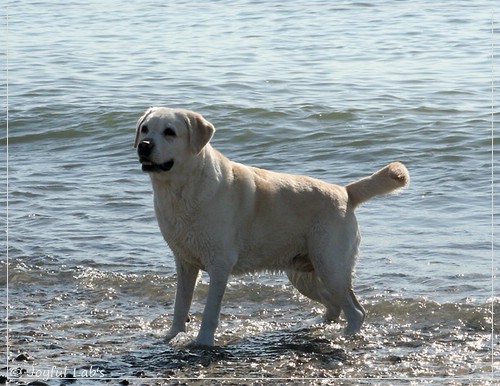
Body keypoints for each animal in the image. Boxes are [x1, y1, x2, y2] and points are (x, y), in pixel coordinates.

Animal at [135, 107, 408, 346]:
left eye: (170, 132)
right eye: (145, 129)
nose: (143, 145)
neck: (180, 189)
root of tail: (345, 192)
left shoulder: (219, 264)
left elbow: (211, 311)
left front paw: (202, 342)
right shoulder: (184, 262)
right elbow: (180, 304)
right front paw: (173, 335)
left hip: (331, 267)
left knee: (356, 311)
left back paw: (344, 336)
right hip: (304, 275)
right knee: (335, 305)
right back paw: (313, 324)